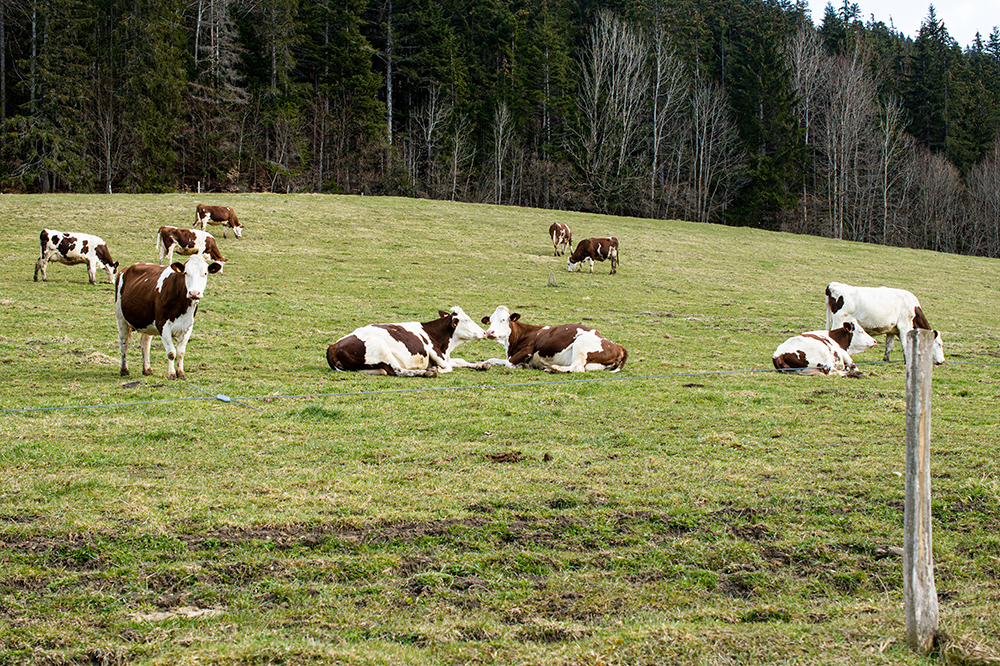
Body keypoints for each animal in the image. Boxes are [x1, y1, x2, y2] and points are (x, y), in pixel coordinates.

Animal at [326, 304, 490, 374]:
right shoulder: (433, 351)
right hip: (382, 351)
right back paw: (426, 372)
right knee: (398, 371)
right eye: (467, 320)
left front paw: (482, 364)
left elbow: (460, 361)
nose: (484, 332)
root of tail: (334, 345)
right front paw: (435, 369)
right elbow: (448, 367)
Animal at [476, 304, 624, 370]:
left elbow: (508, 363)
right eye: (490, 320)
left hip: (580, 343)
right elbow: (493, 359)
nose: (489, 332)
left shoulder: (528, 350)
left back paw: (552, 368)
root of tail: (617, 346)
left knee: (576, 367)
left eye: (503, 320)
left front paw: (523, 365)